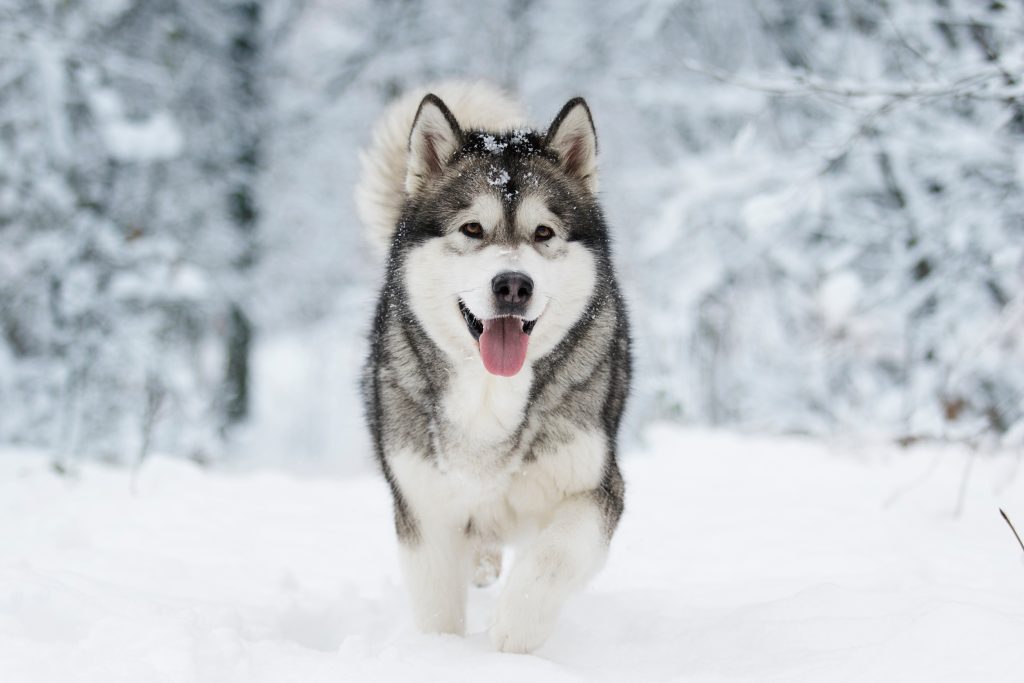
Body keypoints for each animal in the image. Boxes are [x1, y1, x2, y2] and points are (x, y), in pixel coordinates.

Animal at [360, 82, 630, 655]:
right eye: (472, 228)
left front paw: (515, 629)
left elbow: (554, 555)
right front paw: (442, 656)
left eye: (544, 232)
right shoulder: (424, 507)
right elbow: (437, 606)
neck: (489, 394)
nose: (512, 285)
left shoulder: (597, 486)